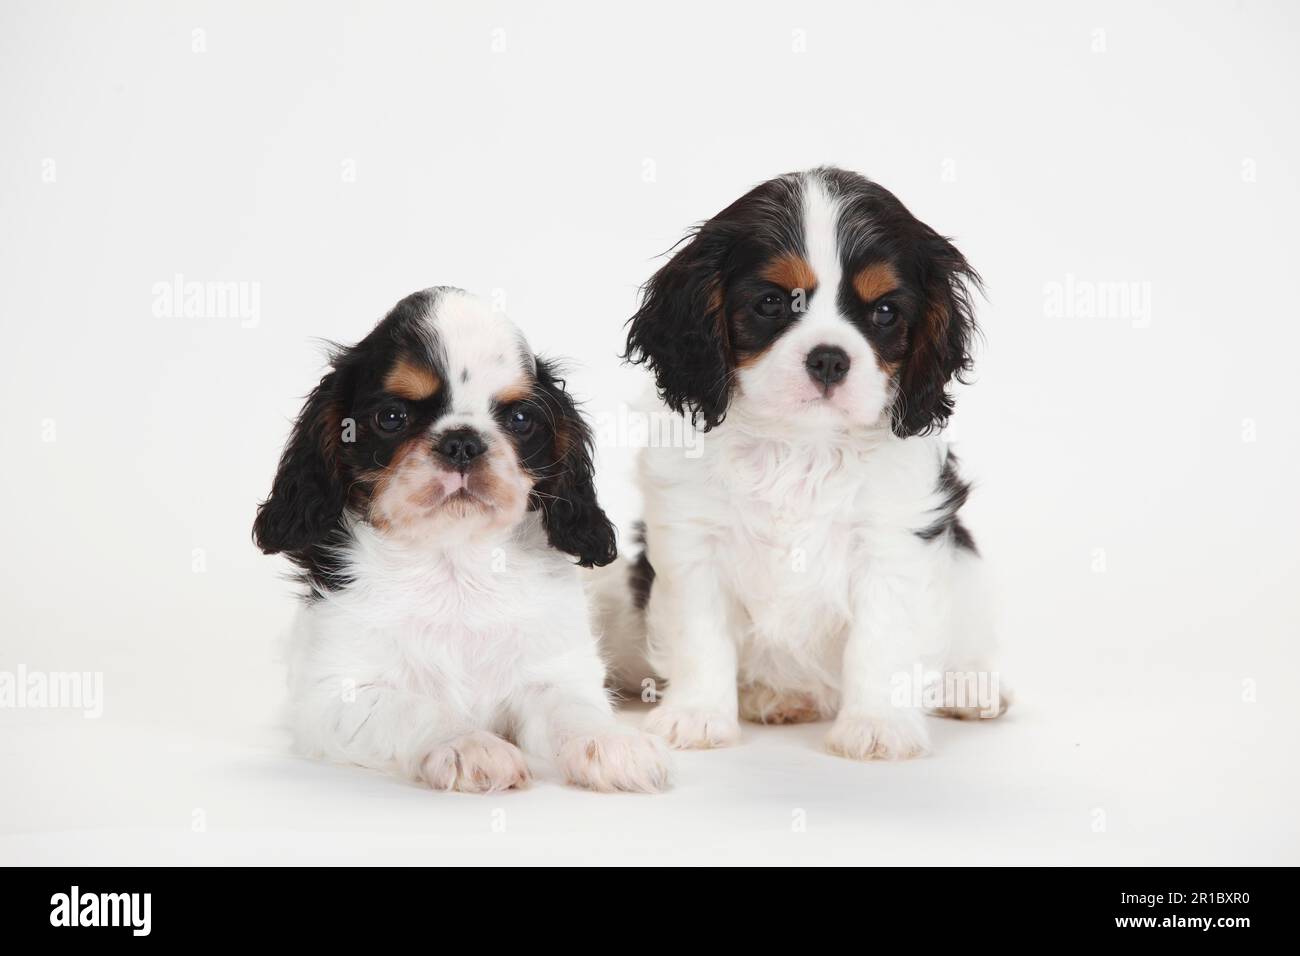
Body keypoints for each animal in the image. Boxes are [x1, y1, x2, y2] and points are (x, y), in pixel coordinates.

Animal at [260, 287, 676, 796]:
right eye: (391, 418)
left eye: (520, 419)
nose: (462, 442)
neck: (454, 561)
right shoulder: (337, 696)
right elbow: (414, 708)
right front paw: (468, 745)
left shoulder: (556, 673)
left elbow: (575, 707)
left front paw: (613, 741)